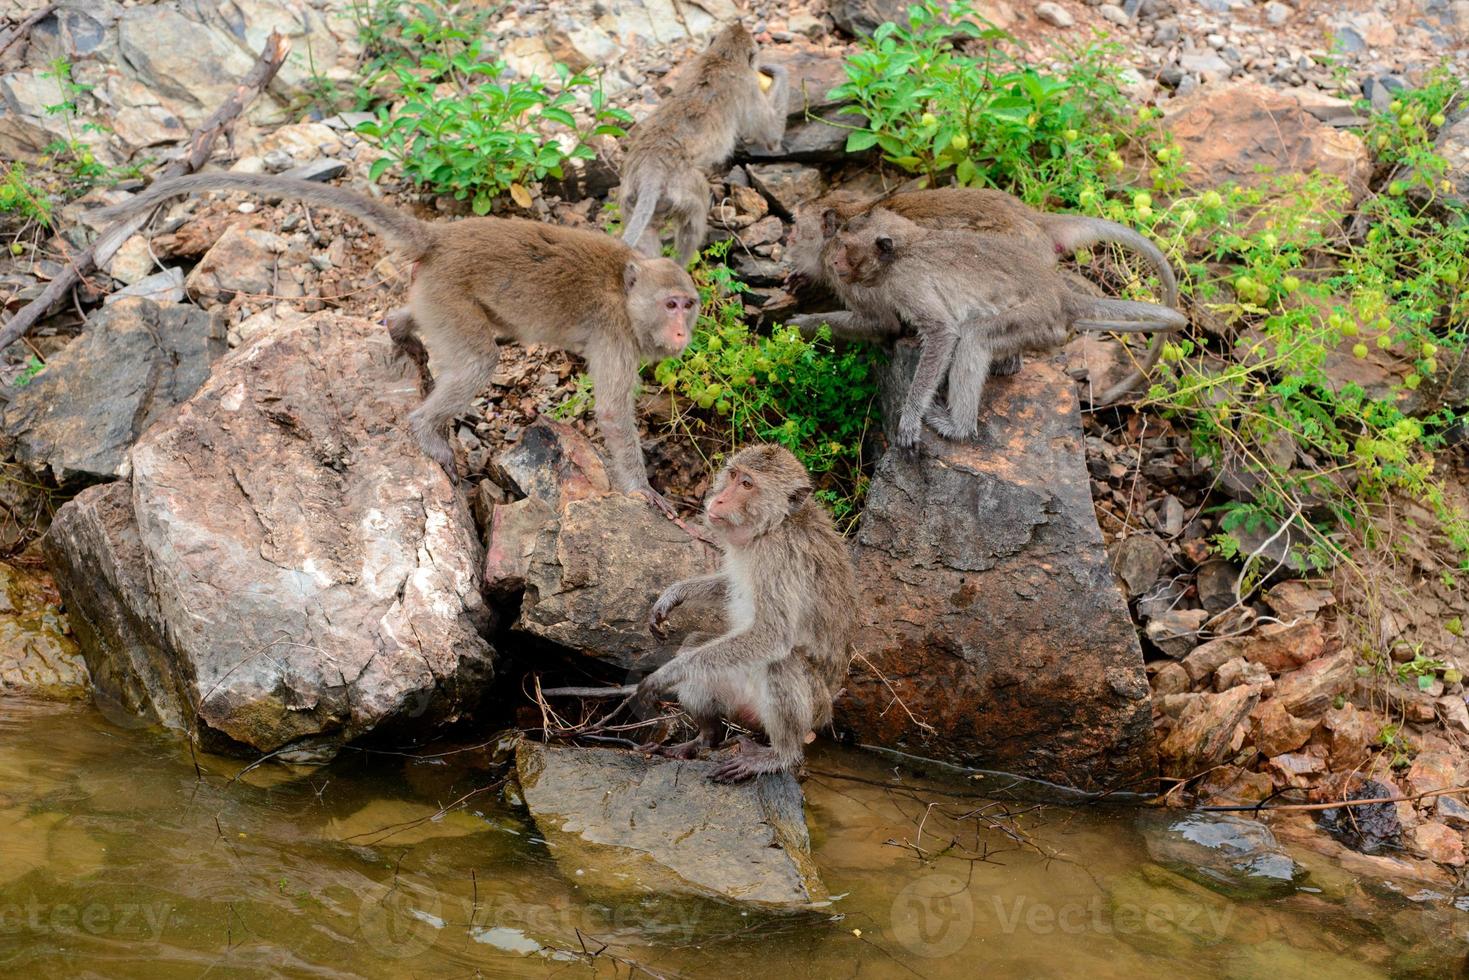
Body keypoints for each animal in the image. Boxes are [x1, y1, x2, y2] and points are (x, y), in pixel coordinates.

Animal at [91, 172, 699, 517]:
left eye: (689, 305)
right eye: (672, 305)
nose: (683, 332)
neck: (626, 290)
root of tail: (441, 238)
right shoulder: (616, 333)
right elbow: (613, 414)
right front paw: (643, 491)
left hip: (437, 294)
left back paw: (399, 327)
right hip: (451, 292)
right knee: (479, 360)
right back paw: (425, 429)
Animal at [637, 443, 857, 781]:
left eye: (747, 485)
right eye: (733, 475)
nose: (719, 499)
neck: (772, 527)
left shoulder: (779, 557)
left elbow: (772, 635)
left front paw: (668, 673)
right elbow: (729, 585)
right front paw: (675, 594)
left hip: (814, 709)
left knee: (781, 663)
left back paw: (780, 755)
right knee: (695, 645)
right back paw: (706, 736)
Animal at [787, 185, 1175, 399]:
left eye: (796, 225)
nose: (787, 243)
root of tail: (1037, 221)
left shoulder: (854, 278)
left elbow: (881, 323)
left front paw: (802, 324)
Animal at [805, 208, 1181, 449]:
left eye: (845, 247)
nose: (834, 262)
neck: (905, 247)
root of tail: (1063, 296)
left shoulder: (905, 282)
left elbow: (943, 334)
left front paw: (909, 419)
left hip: (1036, 319)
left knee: (975, 337)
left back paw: (958, 428)